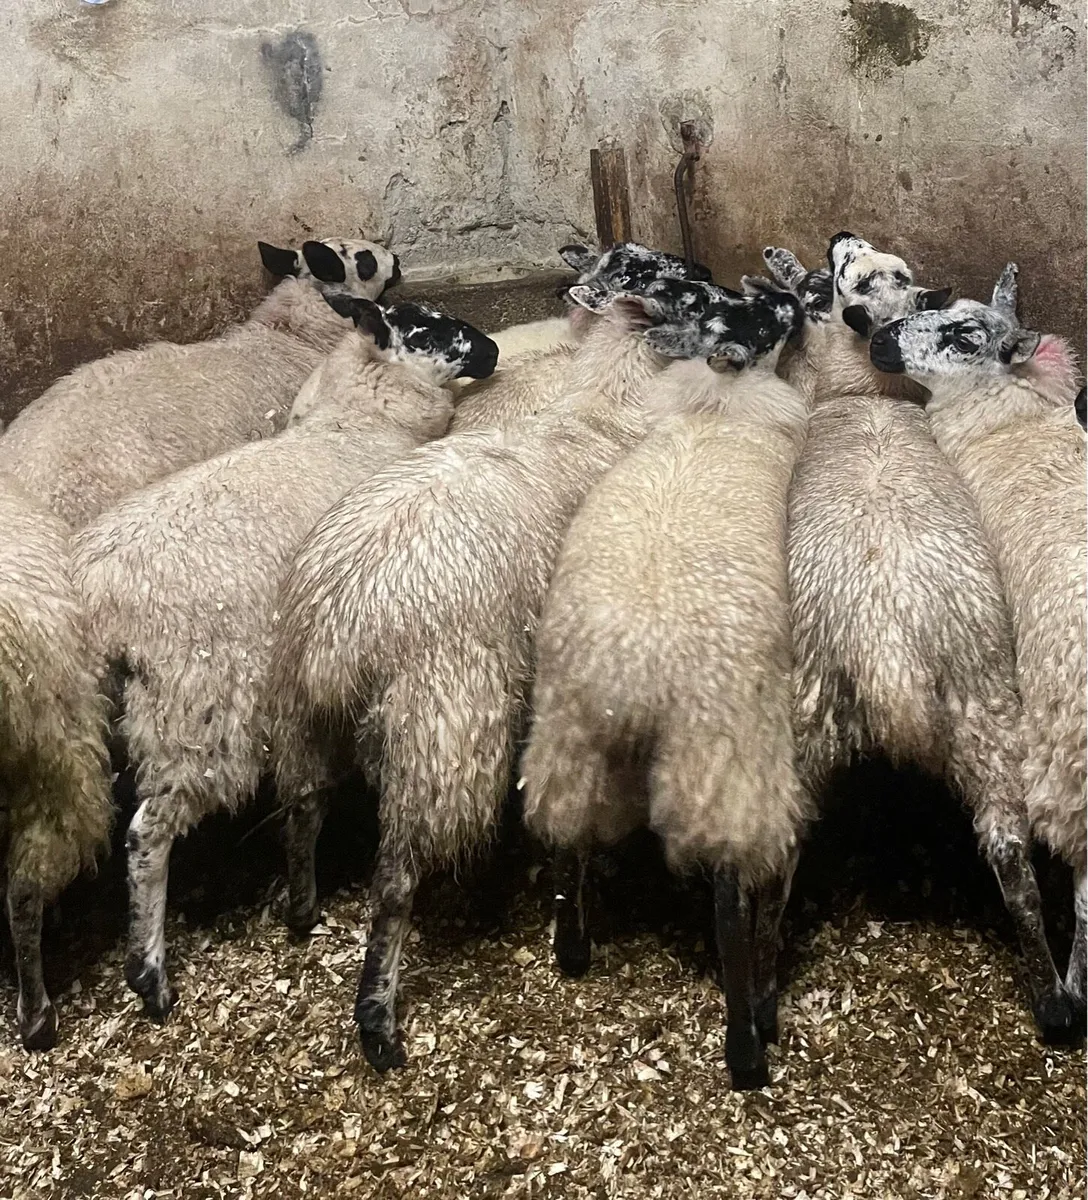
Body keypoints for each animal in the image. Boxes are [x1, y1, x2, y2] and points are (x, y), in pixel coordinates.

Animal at [69, 297, 497, 1021]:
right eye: (429, 328)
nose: (492, 349)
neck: (358, 422)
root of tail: (98, 598)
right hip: (198, 709)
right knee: (146, 834)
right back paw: (149, 974)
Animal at [267, 243, 719, 1072]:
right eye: (674, 284)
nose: (717, 278)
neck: (601, 409)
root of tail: (344, 628)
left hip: (301, 714)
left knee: (304, 809)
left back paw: (303, 910)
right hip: (443, 723)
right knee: (395, 879)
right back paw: (377, 1020)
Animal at [521, 280, 810, 1089]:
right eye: (767, 317)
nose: (791, 295)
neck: (717, 407)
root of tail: (634, 685)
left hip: (566, 746)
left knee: (565, 845)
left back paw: (572, 949)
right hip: (729, 768)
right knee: (736, 901)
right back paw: (752, 1038)